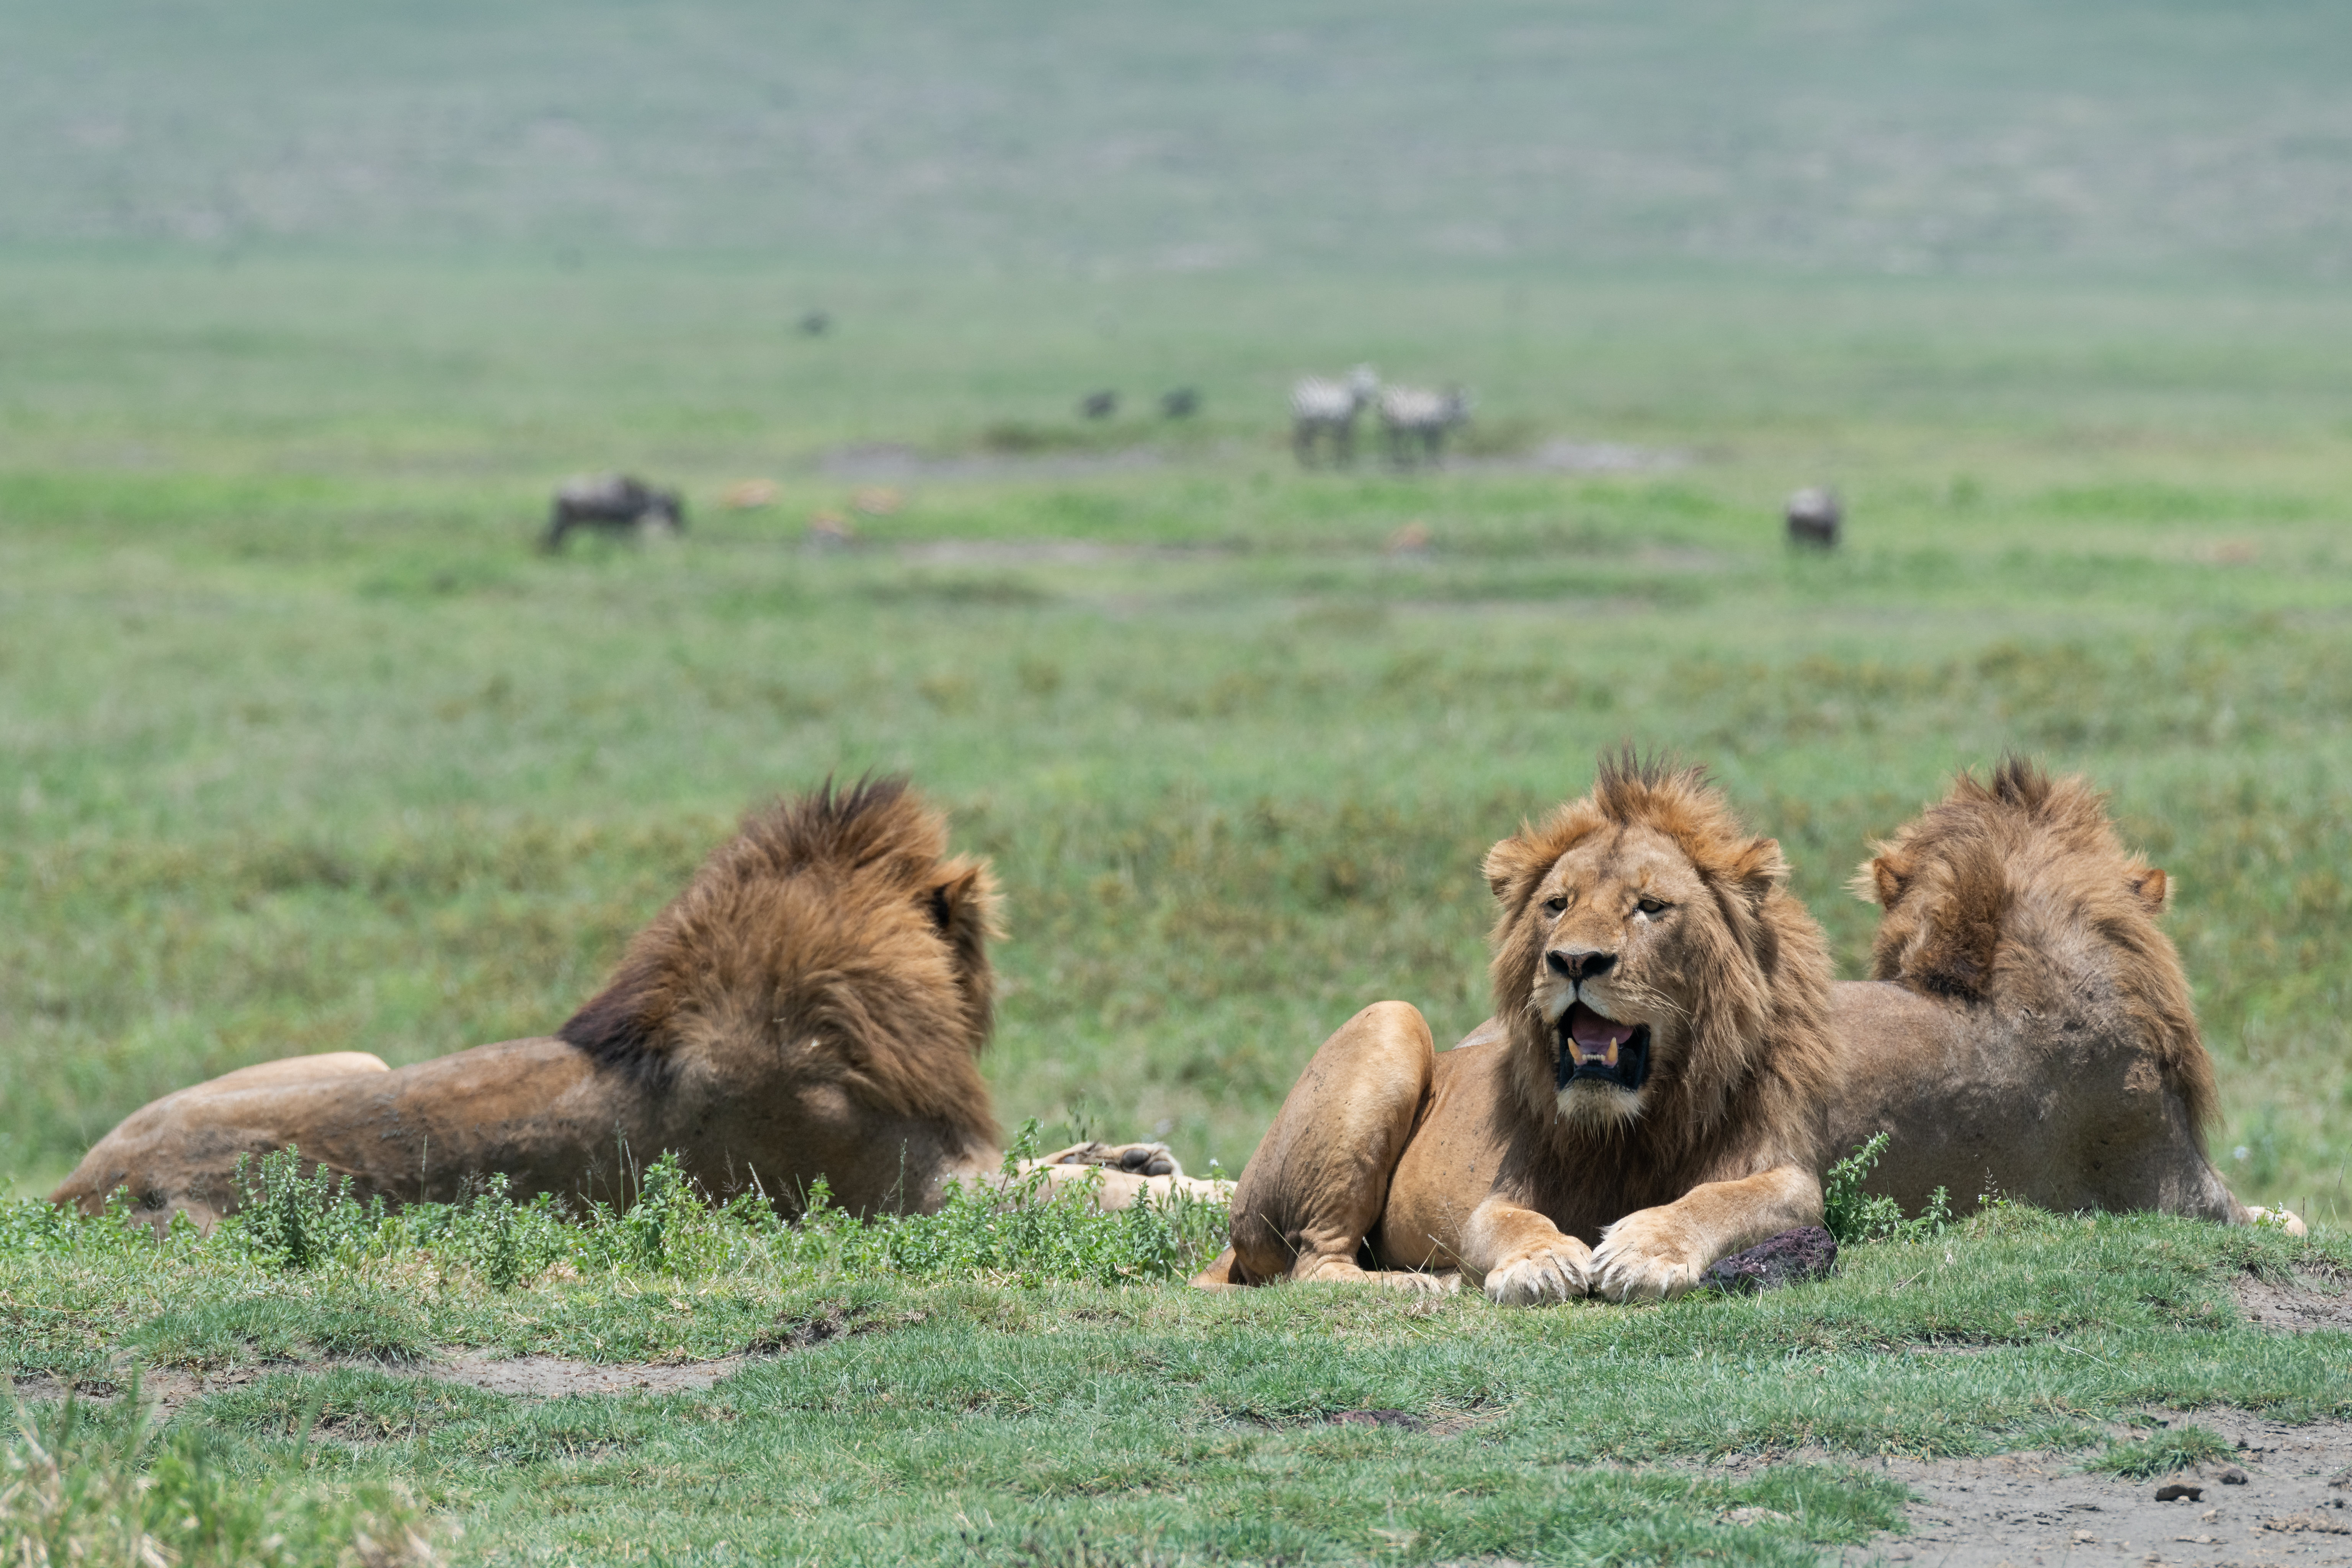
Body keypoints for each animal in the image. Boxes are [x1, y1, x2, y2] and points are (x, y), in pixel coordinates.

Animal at [55, 780, 1214, 1232]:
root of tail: (75, 1185)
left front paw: (1145, 1158)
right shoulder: (913, 1194)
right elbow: (1090, 1198)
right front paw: (1185, 1189)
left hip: (357, 1058)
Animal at [1204, 752, 1844, 1307]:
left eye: (1651, 906)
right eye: (1557, 904)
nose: (1575, 961)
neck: (1634, 1126)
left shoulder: (1786, 1169)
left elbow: (1723, 1198)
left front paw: (1644, 1249)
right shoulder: (1500, 1194)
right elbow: (1510, 1222)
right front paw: (1542, 1262)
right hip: (1390, 1019)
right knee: (1313, 1265)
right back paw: (1422, 1282)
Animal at [1289, 366, 1374, 465]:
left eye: (1371, 383)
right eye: (1358, 382)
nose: (1365, 401)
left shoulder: (1347, 427)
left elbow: (1347, 443)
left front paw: (1344, 460)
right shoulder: (1340, 425)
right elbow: (1341, 444)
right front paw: (1341, 462)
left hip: (1309, 424)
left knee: (1307, 441)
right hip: (1303, 422)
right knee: (1301, 441)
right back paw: (1307, 462)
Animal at [1374, 385, 1467, 470]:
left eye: (1465, 408)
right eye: (1457, 408)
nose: (1466, 422)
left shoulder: (1431, 432)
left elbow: (1432, 447)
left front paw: (1432, 461)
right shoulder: (1431, 431)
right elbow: (1433, 447)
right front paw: (1434, 462)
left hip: (1396, 428)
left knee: (1396, 442)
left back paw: (1403, 459)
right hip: (1392, 425)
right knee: (1393, 442)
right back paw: (1401, 460)